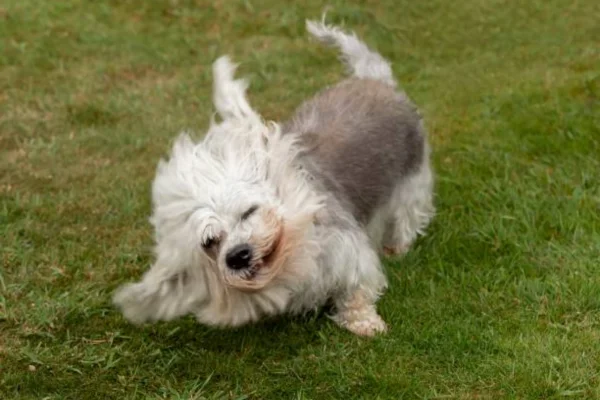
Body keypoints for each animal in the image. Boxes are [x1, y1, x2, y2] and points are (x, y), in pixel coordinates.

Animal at [112, 19, 434, 338]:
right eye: (210, 241)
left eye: (249, 211)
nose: (237, 256)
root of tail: (375, 79)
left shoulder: (349, 253)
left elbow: (356, 292)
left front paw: (364, 323)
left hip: (413, 183)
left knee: (406, 218)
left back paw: (397, 247)